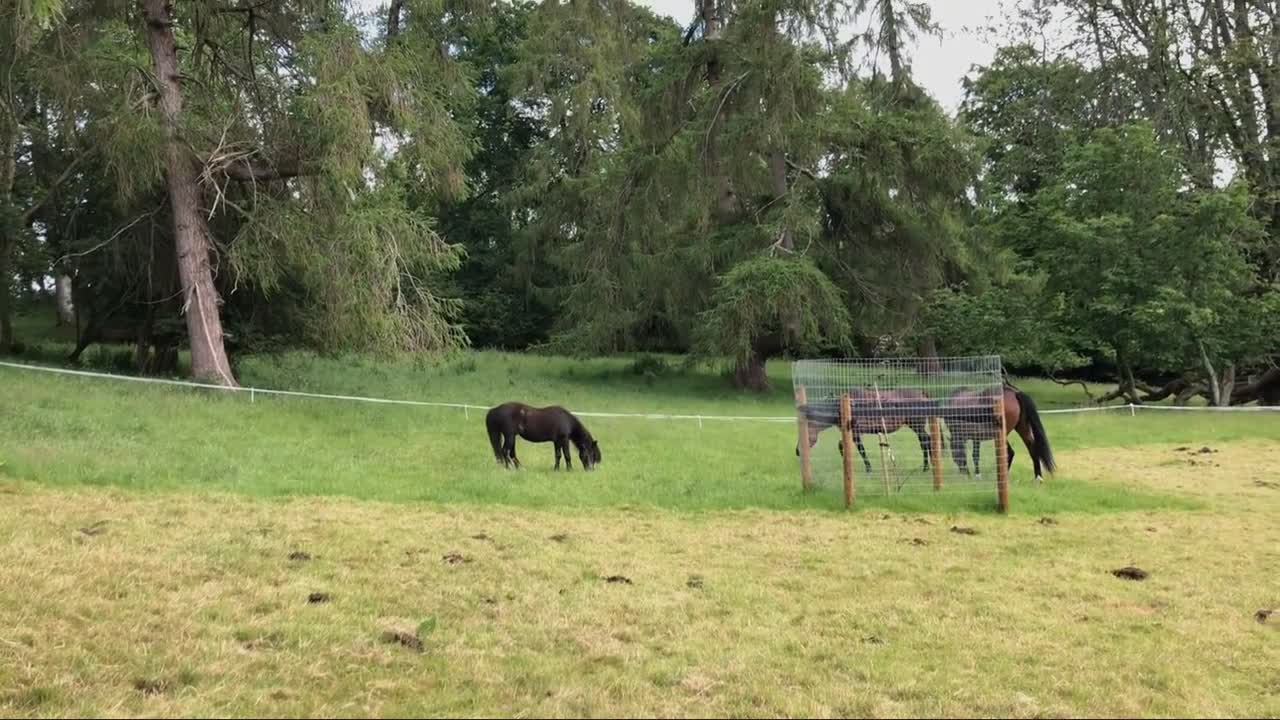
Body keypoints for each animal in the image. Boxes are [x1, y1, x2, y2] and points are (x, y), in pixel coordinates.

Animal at [788, 353, 1008, 509]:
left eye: (806, 432)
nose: (797, 451)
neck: (847, 406)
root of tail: (923, 393)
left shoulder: (856, 431)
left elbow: (854, 448)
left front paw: (866, 469)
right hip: (915, 425)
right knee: (925, 441)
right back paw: (926, 467)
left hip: (917, 425)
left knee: (926, 441)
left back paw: (926, 467)